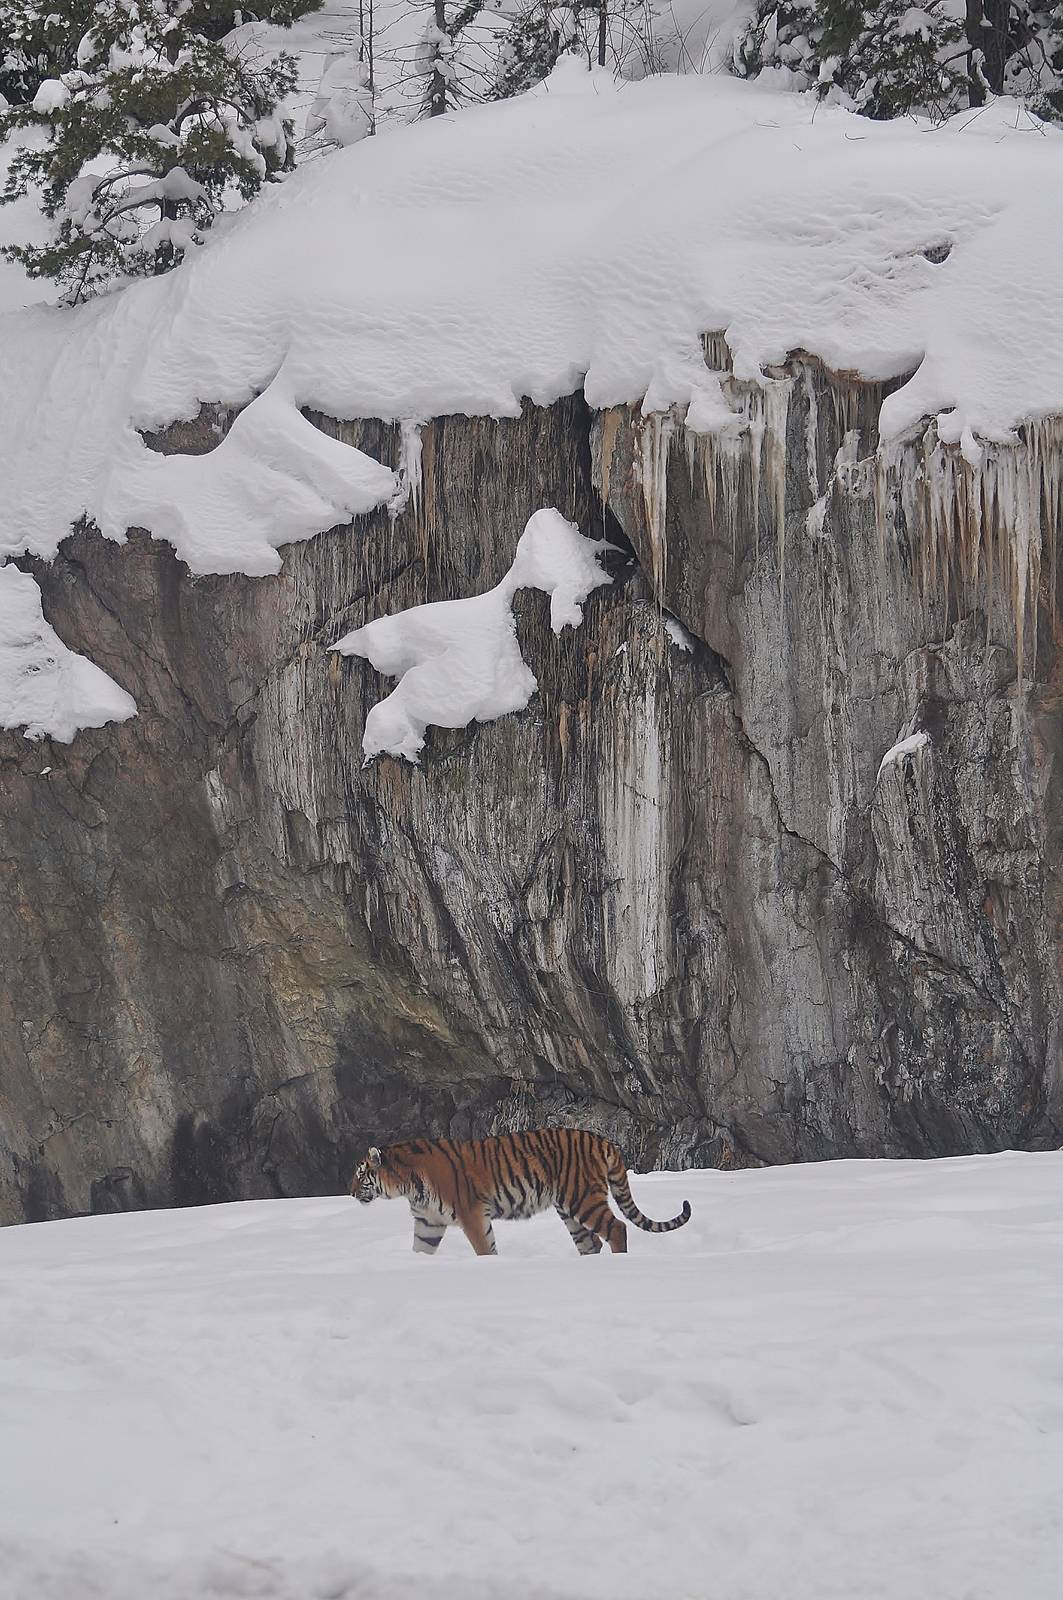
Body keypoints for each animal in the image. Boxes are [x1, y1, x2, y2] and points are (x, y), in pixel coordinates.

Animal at [349, 1128, 692, 1256]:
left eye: (361, 1174)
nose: (349, 1193)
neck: (408, 1185)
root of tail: (602, 1139)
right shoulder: (428, 1222)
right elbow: (420, 1249)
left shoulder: (472, 1214)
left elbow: (485, 1248)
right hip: (569, 1208)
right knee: (591, 1241)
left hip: (582, 1198)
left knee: (617, 1228)